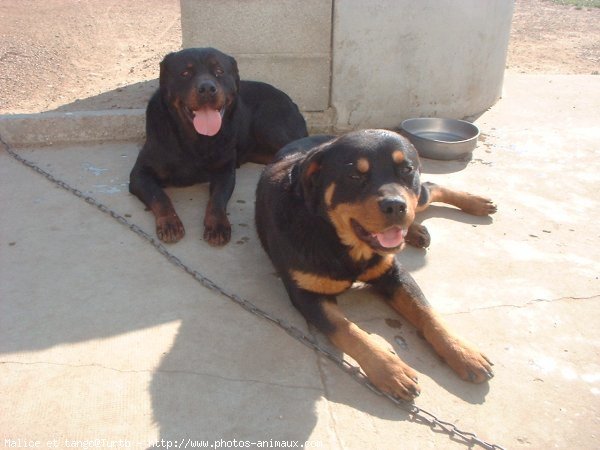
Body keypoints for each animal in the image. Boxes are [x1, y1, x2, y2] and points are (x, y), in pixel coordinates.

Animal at [129, 46, 308, 246]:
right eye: (185, 73)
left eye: (219, 71)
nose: (207, 88)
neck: (195, 140)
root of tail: (291, 101)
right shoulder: (139, 174)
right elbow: (159, 196)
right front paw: (169, 223)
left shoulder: (225, 170)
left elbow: (217, 199)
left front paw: (217, 225)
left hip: (268, 124)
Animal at [255, 130, 494, 400]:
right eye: (355, 176)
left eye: (406, 169)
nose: (395, 206)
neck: (338, 239)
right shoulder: (307, 292)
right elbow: (347, 329)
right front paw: (389, 369)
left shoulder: (394, 273)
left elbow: (426, 312)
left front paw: (462, 351)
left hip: (418, 199)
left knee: (430, 189)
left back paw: (474, 204)